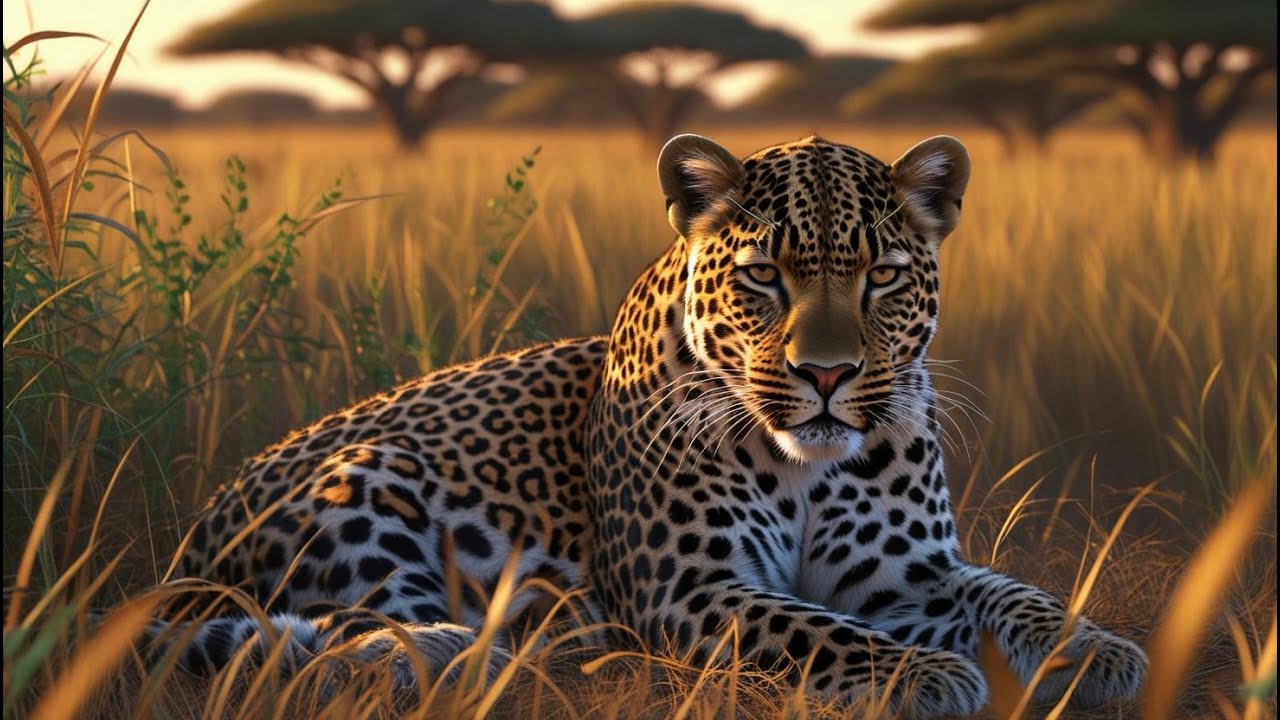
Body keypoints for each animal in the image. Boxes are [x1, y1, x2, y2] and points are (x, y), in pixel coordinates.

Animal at [144, 133, 1148, 717]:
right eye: (764, 276)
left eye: (884, 276)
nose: (826, 375)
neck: (810, 468)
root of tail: (185, 545)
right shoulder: (691, 588)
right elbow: (815, 629)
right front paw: (924, 677)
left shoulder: (908, 573)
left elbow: (1013, 594)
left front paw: (1098, 652)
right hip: (368, 473)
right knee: (353, 648)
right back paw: (490, 648)